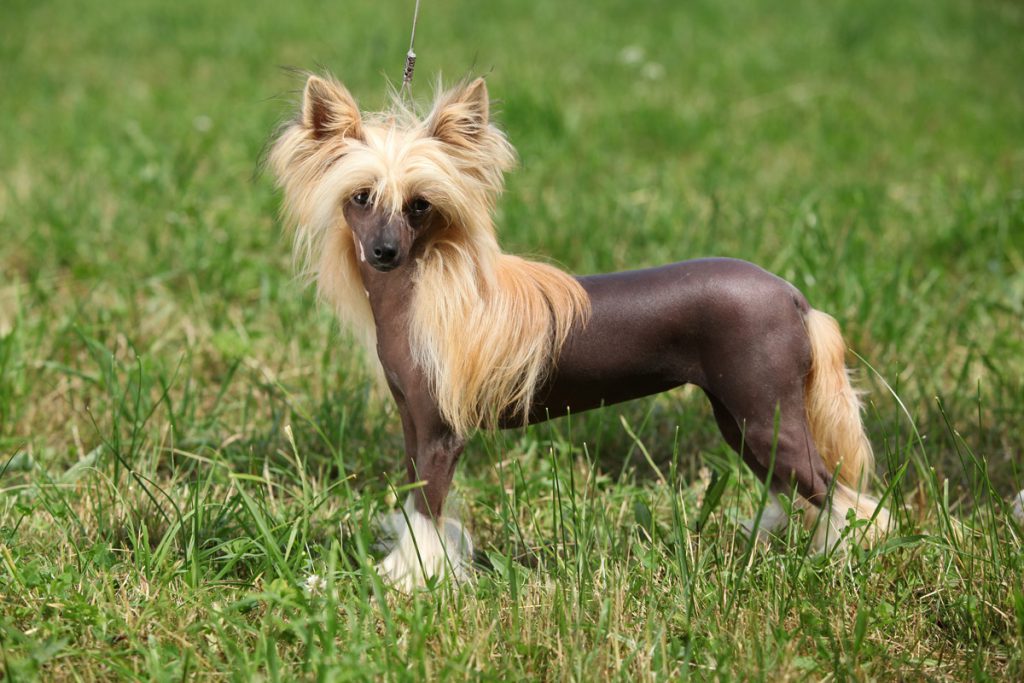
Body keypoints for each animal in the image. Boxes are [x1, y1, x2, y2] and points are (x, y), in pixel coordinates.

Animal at [268, 73, 892, 589]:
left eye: (420, 205)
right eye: (360, 197)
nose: (384, 253)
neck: (421, 295)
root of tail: (794, 296)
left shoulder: (442, 435)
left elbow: (427, 513)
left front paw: (407, 582)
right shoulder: (412, 426)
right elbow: (415, 499)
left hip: (764, 416)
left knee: (843, 496)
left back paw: (843, 560)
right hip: (742, 420)